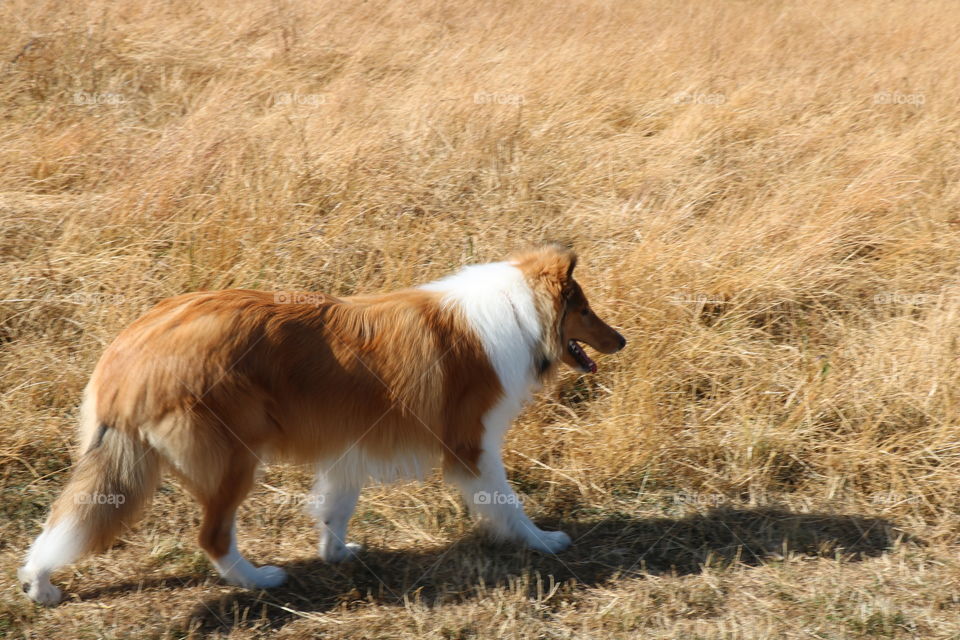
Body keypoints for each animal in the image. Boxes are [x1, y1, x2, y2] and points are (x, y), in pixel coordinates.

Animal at [20, 242, 632, 604]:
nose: (623, 340)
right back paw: (258, 580)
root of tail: (129, 354)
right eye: (583, 307)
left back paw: (38, 581)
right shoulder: (473, 444)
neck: (519, 314)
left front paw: (337, 554)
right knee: (212, 536)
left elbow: (337, 508)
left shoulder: (349, 446)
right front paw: (544, 542)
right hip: (236, 459)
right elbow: (509, 504)